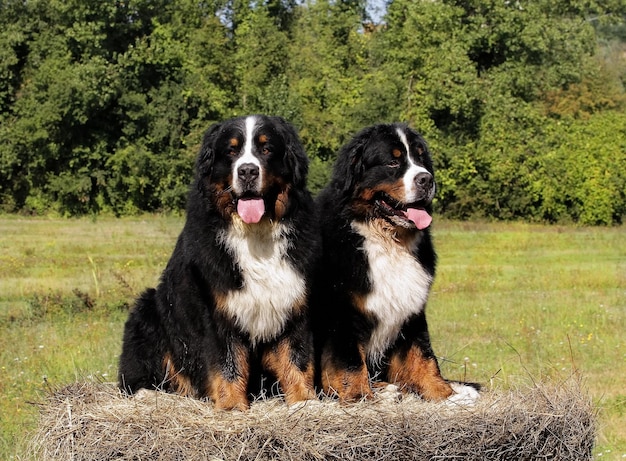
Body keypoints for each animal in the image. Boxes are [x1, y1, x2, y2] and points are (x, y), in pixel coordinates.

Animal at [119, 115, 320, 410]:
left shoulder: (294, 301)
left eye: (266, 149)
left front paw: (305, 401)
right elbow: (228, 361)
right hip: (147, 311)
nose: (247, 171)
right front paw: (232, 406)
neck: (255, 234)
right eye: (231, 151)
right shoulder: (216, 309)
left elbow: (296, 357)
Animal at [312, 122, 478, 402]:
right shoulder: (343, 312)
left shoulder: (412, 306)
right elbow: (350, 362)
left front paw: (446, 393)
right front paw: (360, 396)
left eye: (421, 159)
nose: (426, 179)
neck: (388, 241)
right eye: (392, 162)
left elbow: (422, 355)